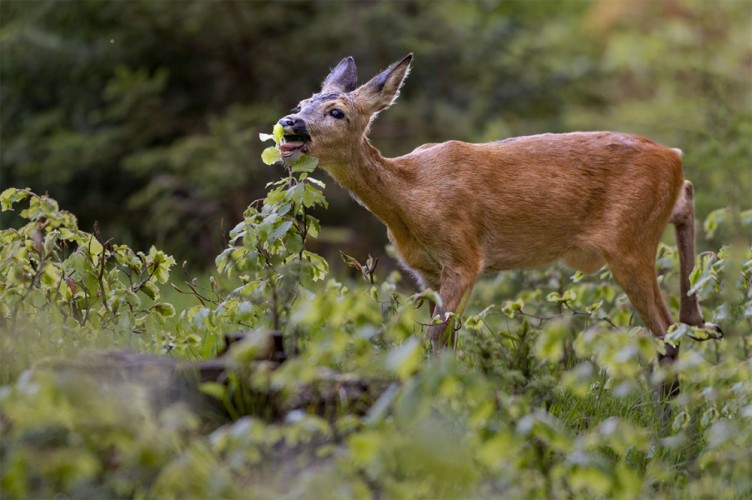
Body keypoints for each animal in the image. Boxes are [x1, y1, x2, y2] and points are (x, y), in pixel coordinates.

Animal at [278, 52, 724, 392]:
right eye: (302, 104)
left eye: (337, 111)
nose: (289, 122)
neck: (410, 197)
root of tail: (673, 156)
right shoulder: (426, 272)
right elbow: (444, 346)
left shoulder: (465, 257)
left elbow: (432, 341)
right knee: (686, 202)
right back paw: (699, 319)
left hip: (630, 241)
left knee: (667, 334)